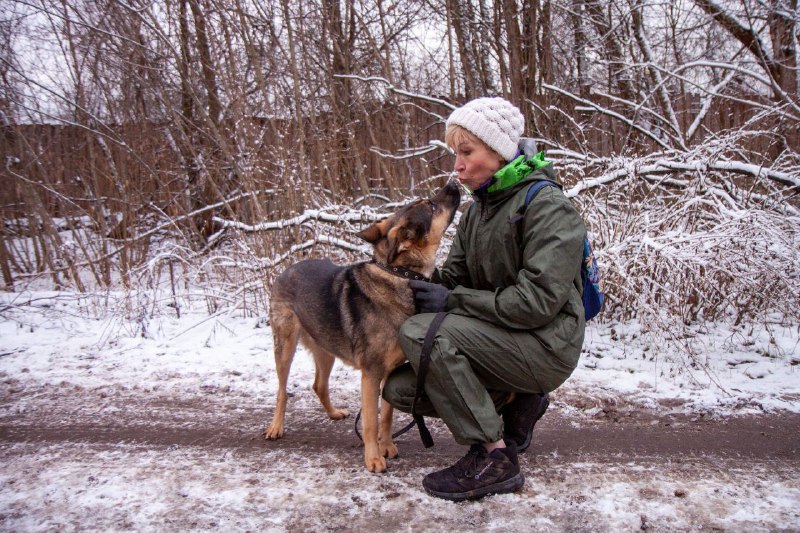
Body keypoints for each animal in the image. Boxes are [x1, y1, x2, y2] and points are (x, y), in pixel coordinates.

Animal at [266, 181, 460, 472]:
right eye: (431, 205)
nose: (453, 183)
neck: (399, 274)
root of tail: (287, 269)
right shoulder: (371, 374)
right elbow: (370, 421)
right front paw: (373, 458)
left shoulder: (390, 373)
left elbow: (386, 416)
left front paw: (387, 446)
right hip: (286, 347)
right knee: (282, 391)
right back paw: (276, 426)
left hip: (326, 350)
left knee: (318, 385)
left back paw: (334, 413)